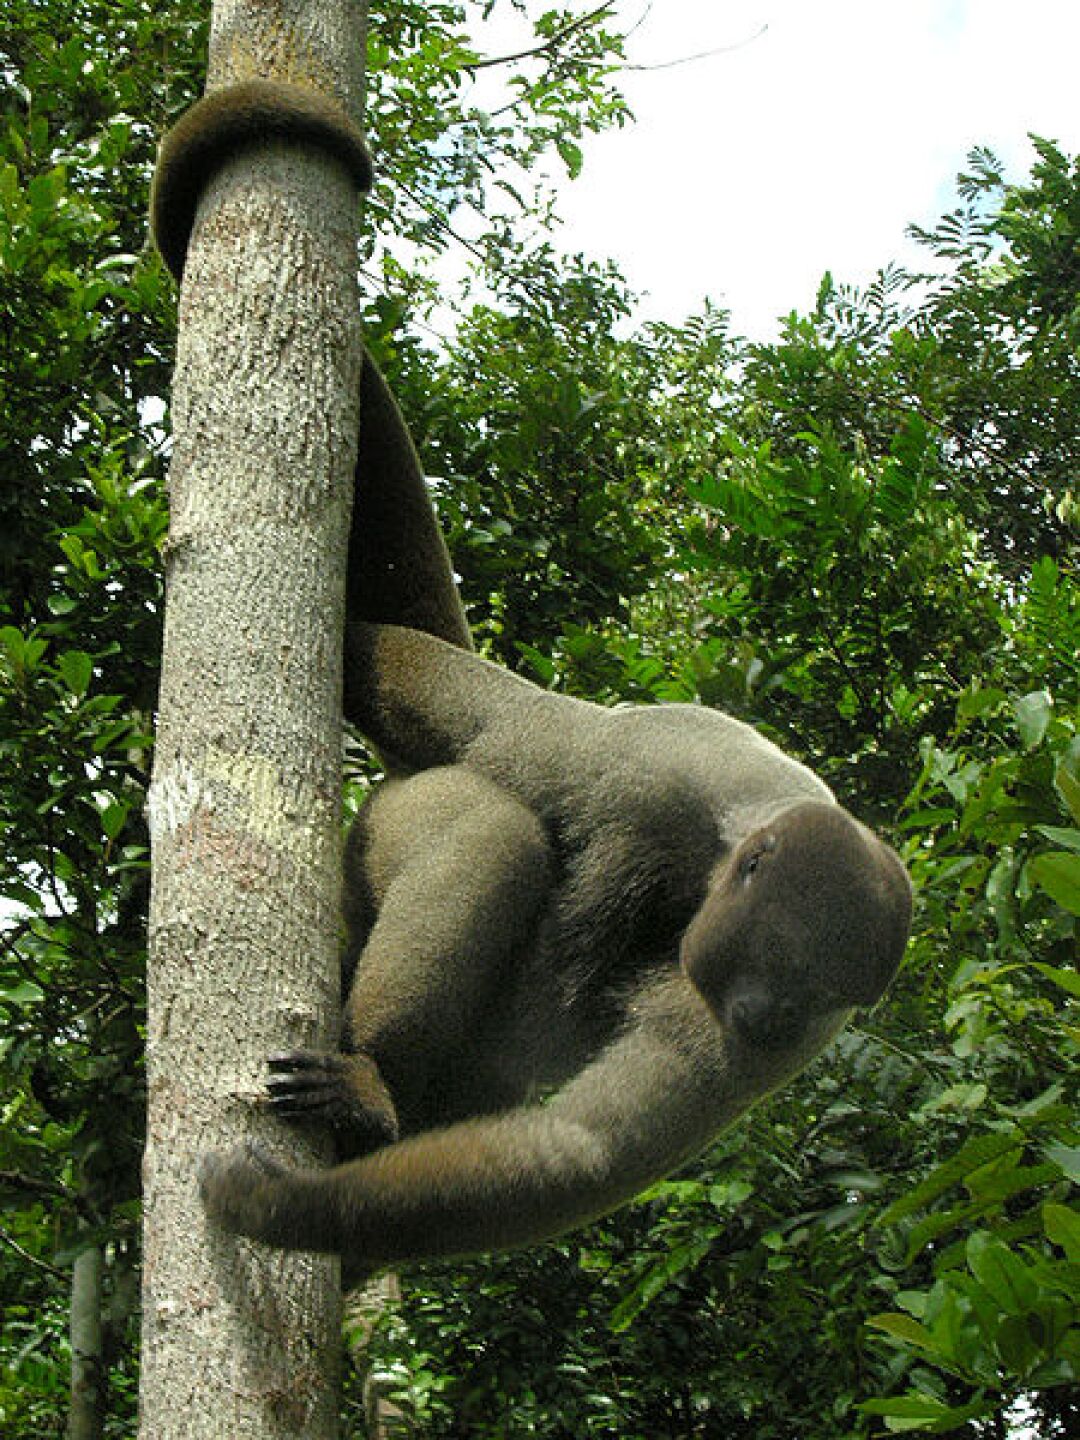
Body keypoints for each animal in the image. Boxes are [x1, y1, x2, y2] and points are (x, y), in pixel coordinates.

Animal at [151, 83, 913, 1274]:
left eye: (809, 1001)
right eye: (784, 966)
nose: (761, 1023)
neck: (740, 829)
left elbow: (583, 1153)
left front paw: (291, 1216)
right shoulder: (647, 762)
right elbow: (447, 699)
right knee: (485, 816)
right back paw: (373, 1081)